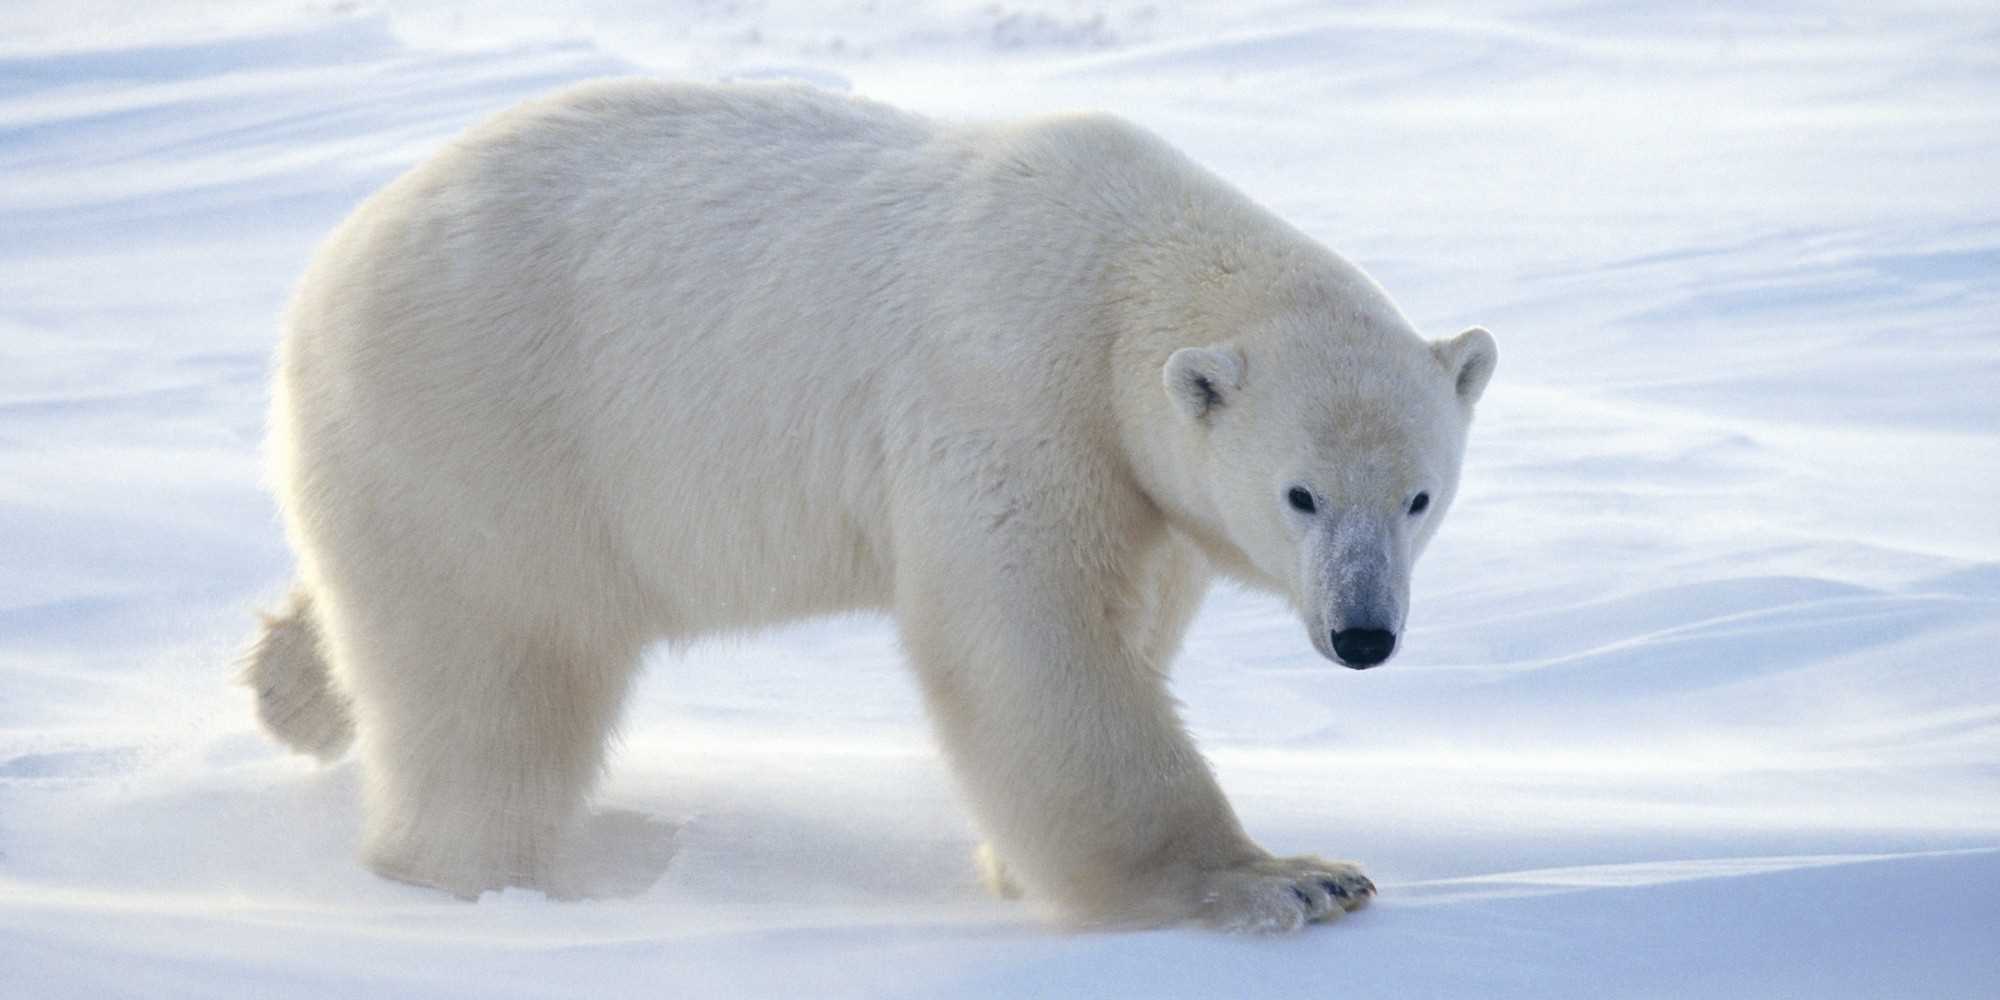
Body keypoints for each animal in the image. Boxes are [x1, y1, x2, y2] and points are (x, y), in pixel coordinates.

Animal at [242, 82, 1496, 932]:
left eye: (1418, 496)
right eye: (1300, 494)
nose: (1363, 634)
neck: (1120, 271)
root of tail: (327, 268)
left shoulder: (1139, 478)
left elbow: (1130, 617)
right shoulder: (1008, 394)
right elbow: (1030, 646)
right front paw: (1286, 878)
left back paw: (287, 680)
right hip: (488, 431)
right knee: (494, 684)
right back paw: (475, 874)